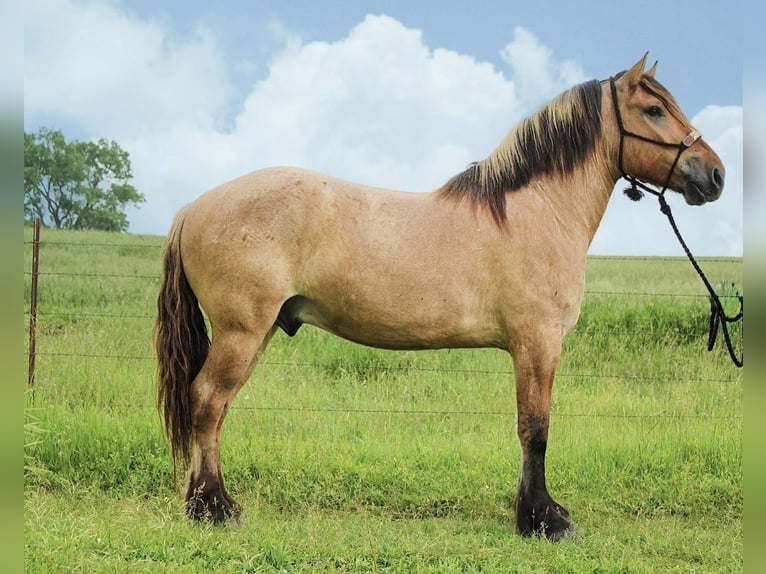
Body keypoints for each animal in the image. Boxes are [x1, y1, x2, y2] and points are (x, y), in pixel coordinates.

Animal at [155, 54, 725, 540]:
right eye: (654, 110)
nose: (715, 174)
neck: (536, 210)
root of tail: (192, 206)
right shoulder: (537, 342)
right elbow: (535, 428)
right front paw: (545, 519)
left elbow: (530, 428)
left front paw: (534, 513)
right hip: (241, 332)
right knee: (207, 401)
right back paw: (213, 508)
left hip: (259, 332)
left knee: (217, 408)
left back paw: (209, 503)